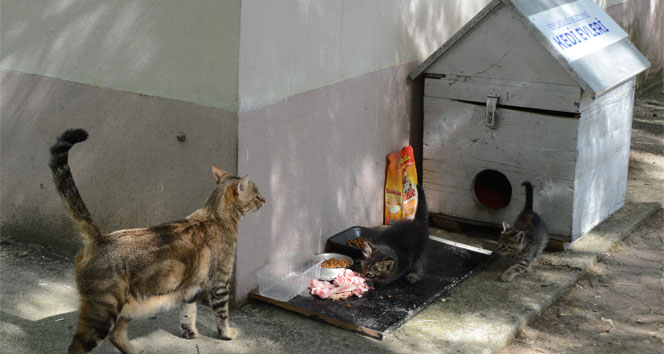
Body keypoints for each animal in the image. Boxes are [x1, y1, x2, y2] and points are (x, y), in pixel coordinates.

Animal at [48, 130, 264, 354]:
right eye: (257, 196)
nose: (265, 200)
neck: (214, 215)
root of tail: (100, 238)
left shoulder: (190, 286)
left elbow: (188, 312)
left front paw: (189, 333)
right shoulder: (220, 282)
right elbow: (221, 315)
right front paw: (227, 334)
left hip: (130, 308)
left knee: (117, 335)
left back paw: (135, 351)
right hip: (103, 312)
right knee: (78, 347)